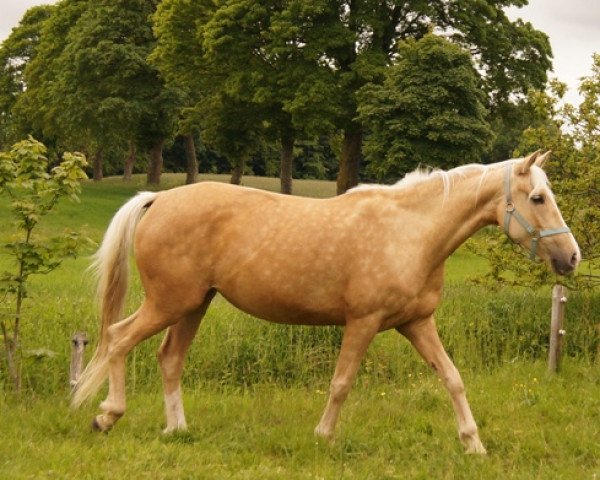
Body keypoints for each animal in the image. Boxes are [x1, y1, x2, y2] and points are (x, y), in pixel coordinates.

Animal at [72, 151, 580, 454]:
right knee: (118, 338)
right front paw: (323, 436)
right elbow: (341, 383)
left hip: (193, 305)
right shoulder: (363, 322)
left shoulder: (417, 323)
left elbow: (453, 379)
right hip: (168, 303)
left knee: (170, 358)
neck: (412, 231)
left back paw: (176, 430)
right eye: (538, 197)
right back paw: (106, 416)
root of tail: (157, 199)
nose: (572, 256)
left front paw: (473, 444)